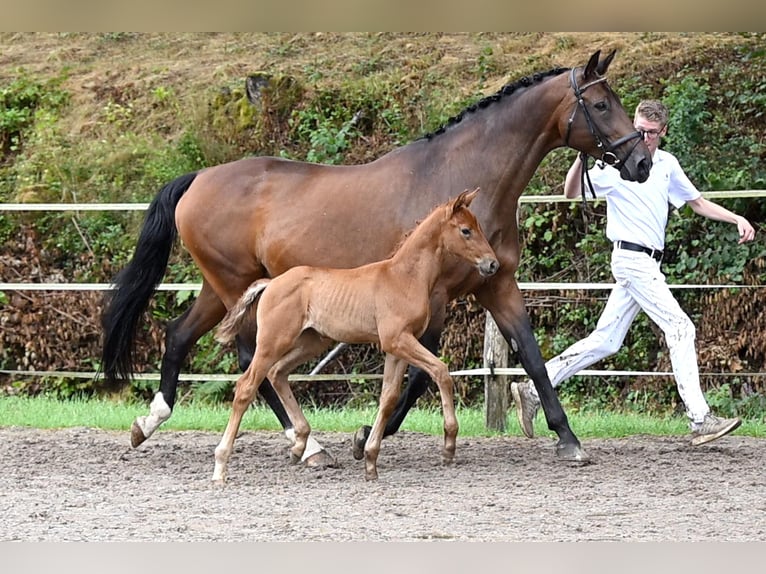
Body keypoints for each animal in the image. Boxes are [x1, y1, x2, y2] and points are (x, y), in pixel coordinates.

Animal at [211, 188, 498, 482]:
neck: (404, 277)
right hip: (273, 341)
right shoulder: (398, 340)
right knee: (246, 386)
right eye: (466, 230)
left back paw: (300, 446)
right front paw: (449, 445)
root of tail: (270, 283)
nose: (492, 264)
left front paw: (370, 458)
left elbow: (389, 396)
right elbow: (441, 371)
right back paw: (221, 466)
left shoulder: (396, 348)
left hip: (311, 342)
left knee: (277, 373)